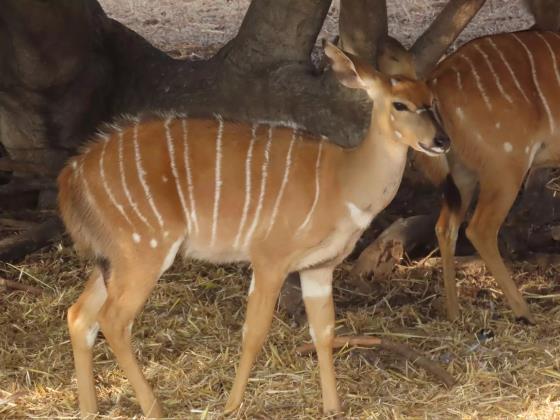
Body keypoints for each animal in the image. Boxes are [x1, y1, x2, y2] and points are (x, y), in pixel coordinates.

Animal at [58, 40, 450, 416]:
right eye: (400, 105)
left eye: (432, 100)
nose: (441, 141)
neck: (343, 181)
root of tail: (71, 176)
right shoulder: (269, 258)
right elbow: (255, 332)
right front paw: (230, 408)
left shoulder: (319, 267)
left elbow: (324, 332)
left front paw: (333, 408)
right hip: (144, 250)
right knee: (113, 320)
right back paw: (155, 409)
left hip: (114, 257)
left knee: (80, 315)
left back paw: (90, 409)